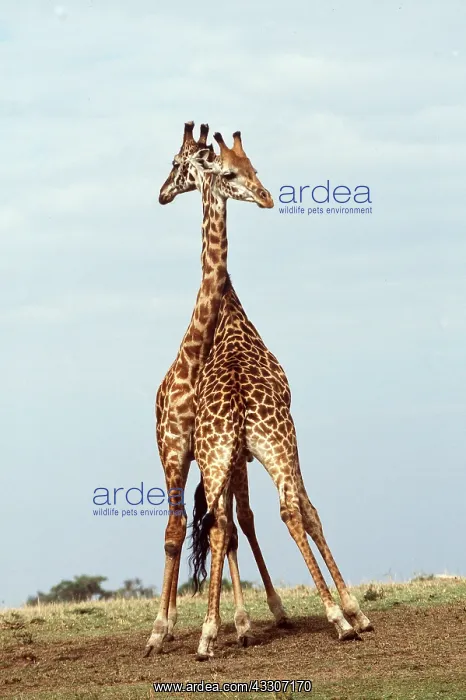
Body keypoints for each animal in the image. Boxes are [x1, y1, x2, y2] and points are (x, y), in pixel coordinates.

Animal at [144, 122, 287, 658]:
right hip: (173, 454)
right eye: (227, 172)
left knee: (220, 524)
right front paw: (162, 630)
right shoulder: (176, 450)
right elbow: (177, 531)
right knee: (182, 526)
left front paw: (233, 623)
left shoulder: (216, 454)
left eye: (254, 169)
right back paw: (165, 627)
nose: (163, 193)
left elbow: (223, 526)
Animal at [189, 132, 374, 660]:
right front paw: (354, 611)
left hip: (214, 456)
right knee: (291, 509)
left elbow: (233, 524)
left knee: (217, 524)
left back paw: (208, 636)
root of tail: (234, 407)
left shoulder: (234, 458)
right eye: (231, 172)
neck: (230, 312)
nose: (268, 196)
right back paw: (339, 620)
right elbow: (310, 511)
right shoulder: (291, 432)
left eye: (253, 164)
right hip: (275, 440)